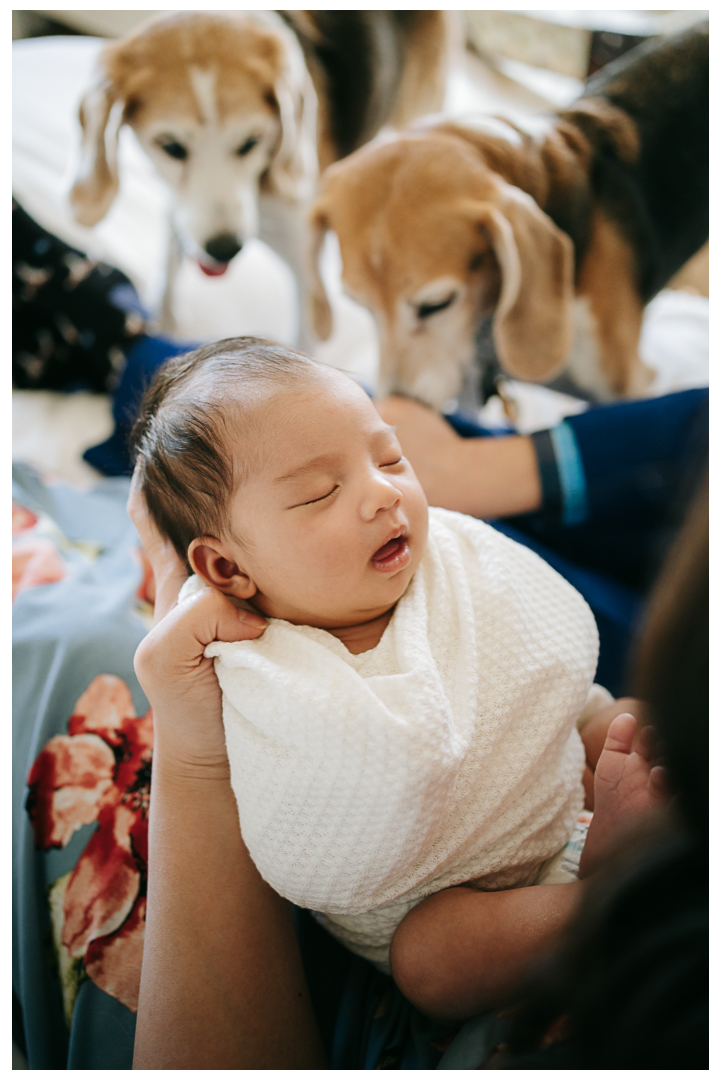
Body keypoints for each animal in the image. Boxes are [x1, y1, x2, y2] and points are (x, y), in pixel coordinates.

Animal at [67, 9, 451, 336]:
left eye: (252, 141)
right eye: (172, 147)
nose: (224, 249)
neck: (261, 190)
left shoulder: (308, 284)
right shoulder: (182, 214)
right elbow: (171, 265)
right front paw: (164, 318)